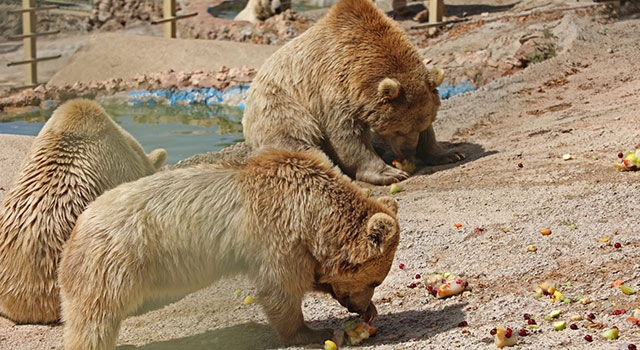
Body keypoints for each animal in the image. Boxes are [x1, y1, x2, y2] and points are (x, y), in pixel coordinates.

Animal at [60, 148, 400, 350]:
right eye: (375, 279)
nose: (362, 307)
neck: (311, 210)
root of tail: (78, 225)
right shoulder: (276, 231)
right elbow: (279, 287)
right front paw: (311, 332)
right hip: (111, 263)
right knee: (95, 318)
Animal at [242, 0, 462, 186]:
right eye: (398, 130)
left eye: (422, 124)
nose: (408, 151)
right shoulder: (332, 87)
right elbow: (346, 134)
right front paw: (390, 173)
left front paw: (448, 154)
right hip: (278, 105)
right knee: (298, 140)